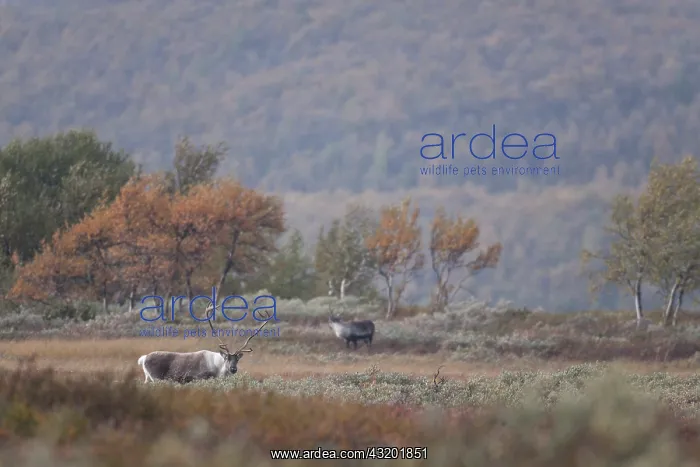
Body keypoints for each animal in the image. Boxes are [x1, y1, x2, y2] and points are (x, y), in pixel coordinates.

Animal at [137, 305, 270, 384]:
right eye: (227, 358)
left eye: (237, 359)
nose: (233, 369)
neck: (218, 368)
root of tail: (143, 358)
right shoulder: (199, 378)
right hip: (156, 378)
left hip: (148, 378)